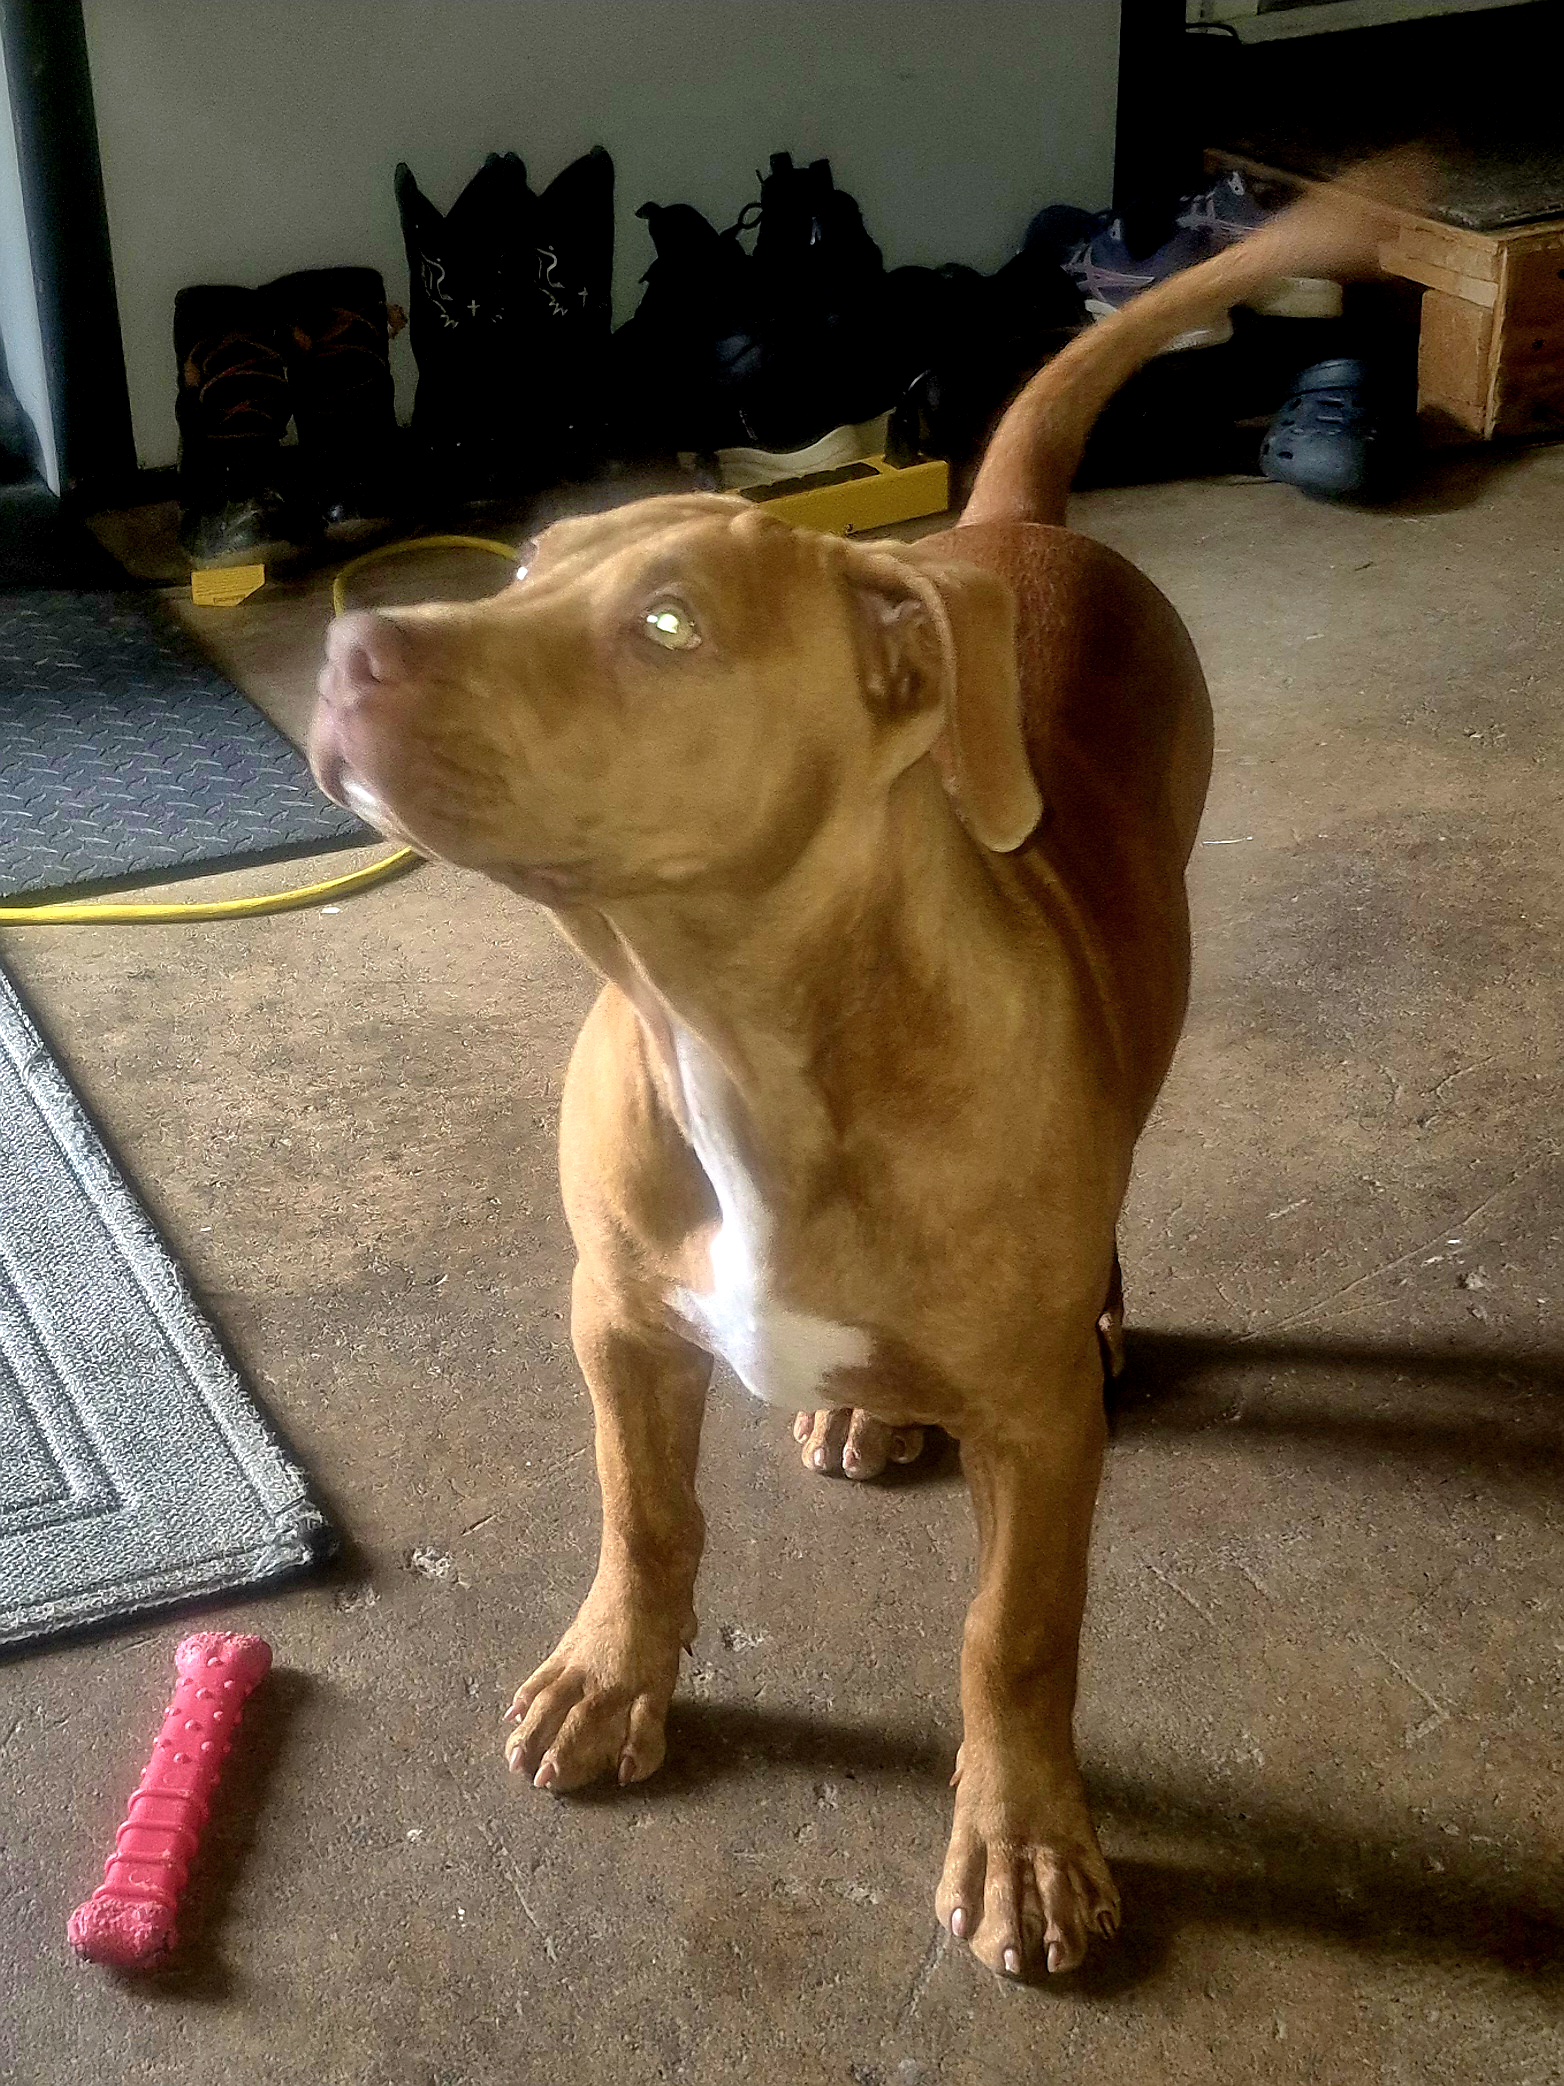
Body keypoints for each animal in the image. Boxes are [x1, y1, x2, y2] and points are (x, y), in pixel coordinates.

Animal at [311, 170, 1405, 1979]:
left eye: (667, 624)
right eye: (526, 560)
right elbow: (643, 1516)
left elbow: (1010, 1633)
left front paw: (1024, 1840)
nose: (345, 656)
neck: (728, 1025)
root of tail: (1003, 526)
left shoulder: (1038, 1434)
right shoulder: (614, 1317)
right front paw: (612, 1675)